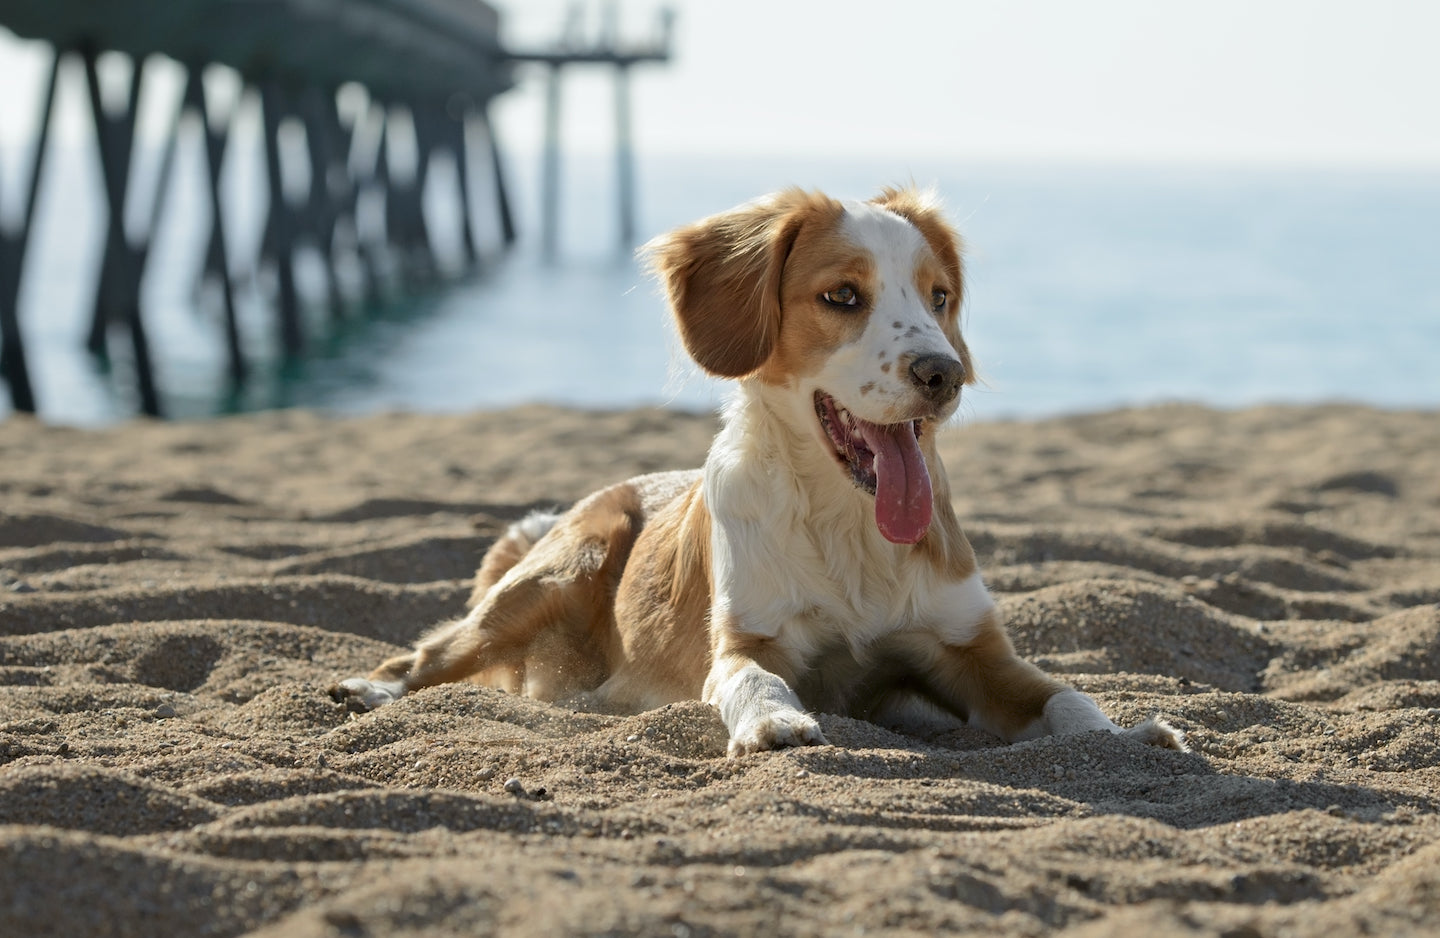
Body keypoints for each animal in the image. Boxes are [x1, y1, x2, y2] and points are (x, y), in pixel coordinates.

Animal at [331, 187, 1186, 760]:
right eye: (842, 295)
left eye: (940, 297)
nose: (944, 373)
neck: (848, 525)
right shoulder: (749, 638)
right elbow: (751, 680)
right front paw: (774, 722)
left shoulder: (970, 652)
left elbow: (1066, 695)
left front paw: (1128, 732)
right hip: (563, 567)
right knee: (429, 654)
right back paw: (366, 690)